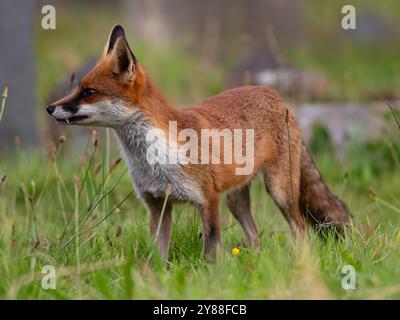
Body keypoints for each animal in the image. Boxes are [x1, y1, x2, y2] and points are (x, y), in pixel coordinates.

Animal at [47, 25, 350, 260]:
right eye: (77, 87)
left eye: (89, 92)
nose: (50, 108)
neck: (155, 159)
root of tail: (272, 93)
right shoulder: (158, 206)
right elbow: (157, 257)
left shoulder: (208, 200)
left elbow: (211, 252)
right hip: (235, 200)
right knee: (255, 237)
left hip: (279, 191)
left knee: (300, 228)